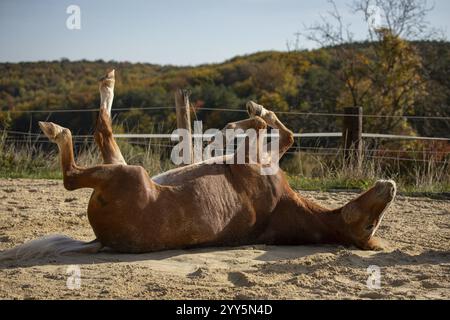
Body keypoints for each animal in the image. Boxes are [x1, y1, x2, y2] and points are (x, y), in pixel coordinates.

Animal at [0, 70, 396, 260]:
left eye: (371, 224)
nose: (390, 186)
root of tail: (101, 239)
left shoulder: (252, 159)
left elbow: (258, 131)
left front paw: (230, 127)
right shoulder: (269, 155)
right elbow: (286, 134)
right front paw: (255, 109)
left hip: (130, 174)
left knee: (79, 162)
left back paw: (61, 123)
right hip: (123, 165)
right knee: (102, 133)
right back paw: (107, 82)